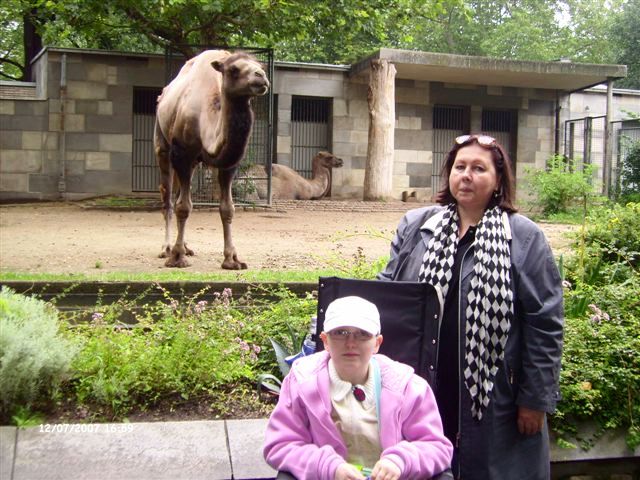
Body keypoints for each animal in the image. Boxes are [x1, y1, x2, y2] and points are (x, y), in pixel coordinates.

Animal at [154, 50, 269, 269]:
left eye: (261, 66)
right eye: (233, 69)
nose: (261, 77)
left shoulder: (228, 163)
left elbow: (227, 208)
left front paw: (232, 260)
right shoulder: (181, 153)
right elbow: (183, 206)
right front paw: (177, 258)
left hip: (193, 163)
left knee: (180, 193)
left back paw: (186, 247)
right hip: (163, 145)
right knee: (168, 198)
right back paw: (166, 248)